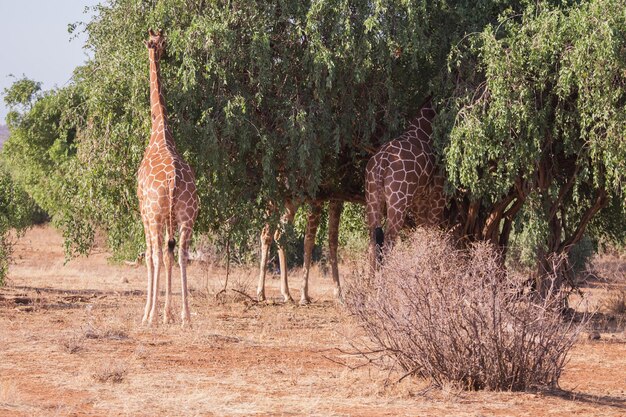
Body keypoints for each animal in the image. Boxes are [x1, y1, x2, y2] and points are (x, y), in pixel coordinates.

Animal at [364, 96, 446, 268]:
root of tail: (382, 162)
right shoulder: (438, 193)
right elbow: (431, 232)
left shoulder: (418, 200)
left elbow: (423, 233)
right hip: (398, 201)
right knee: (388, 242)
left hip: (372, 197)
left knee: (373, 243)